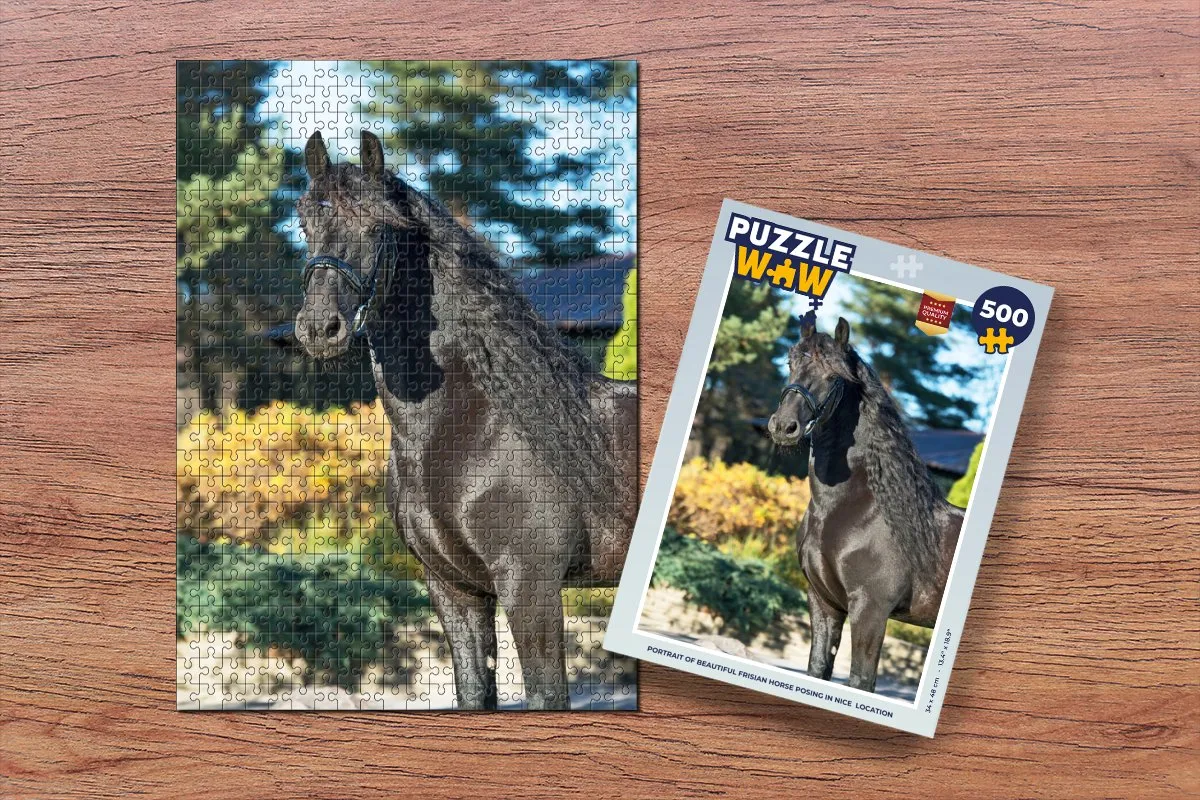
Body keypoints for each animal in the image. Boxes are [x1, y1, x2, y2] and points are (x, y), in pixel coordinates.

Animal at [293, 130, 638, 710]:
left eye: (378, 227)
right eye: (304, 223)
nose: (321, 328)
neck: (471, 429)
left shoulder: (530, 587)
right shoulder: (455, 590)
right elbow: (474, 695)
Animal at [767, 315, 963, 693]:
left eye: (834, 377)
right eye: (790, 364)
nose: (784, 427)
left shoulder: (870, 610)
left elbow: (860, 682)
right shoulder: (824, 603)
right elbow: (818, 668)